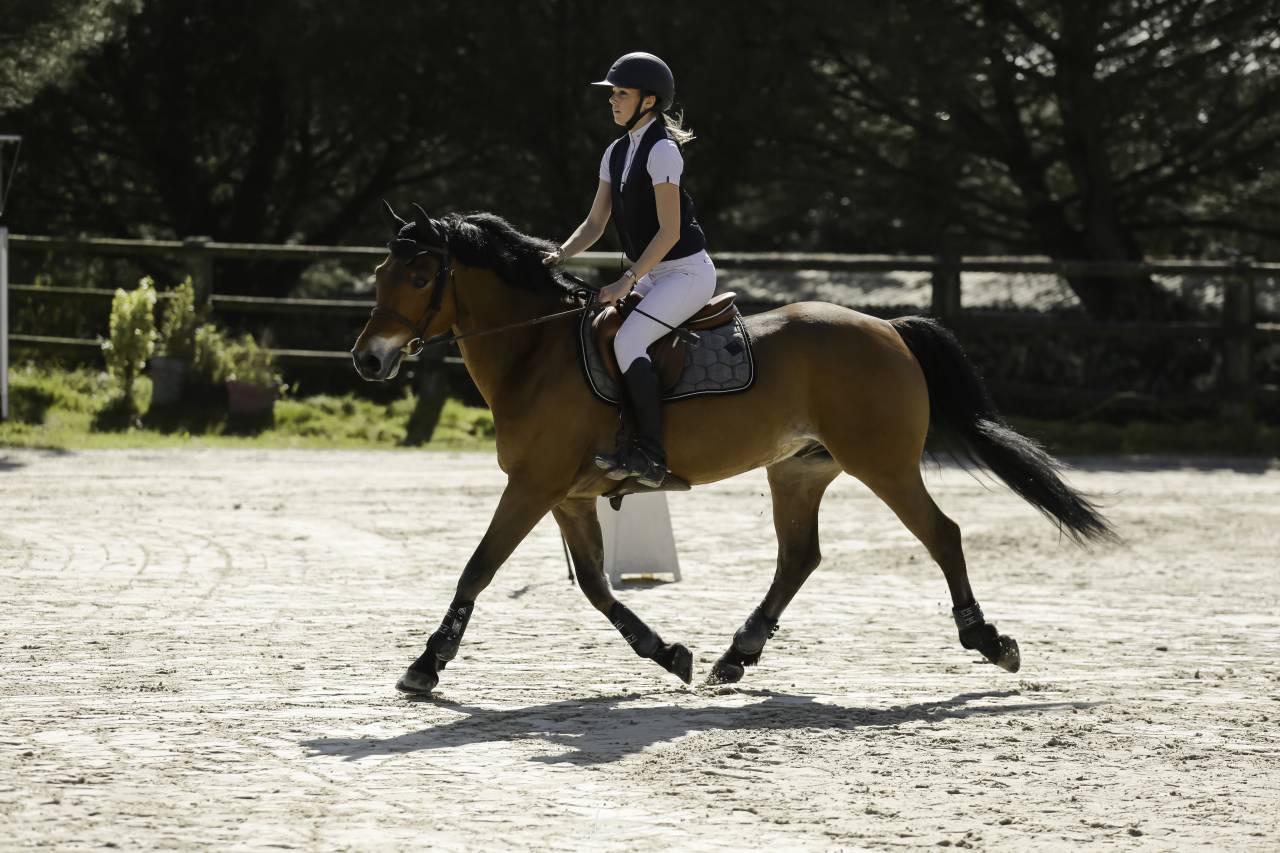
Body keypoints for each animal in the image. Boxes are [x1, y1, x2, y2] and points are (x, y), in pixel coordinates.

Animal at [352, 202, 1116, 695]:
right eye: (379, 278)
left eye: (419, 278)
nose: (368, 359)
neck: (537, 351)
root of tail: (888, 329)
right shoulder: (567, 495)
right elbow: (598, 588)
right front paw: (668, 653)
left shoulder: (533, 487)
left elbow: (478, 569)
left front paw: (426, 665)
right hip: (799, 471)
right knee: (799, 556)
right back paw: (734, 655)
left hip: (884, 464)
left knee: (942, 534)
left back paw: (989, 641)